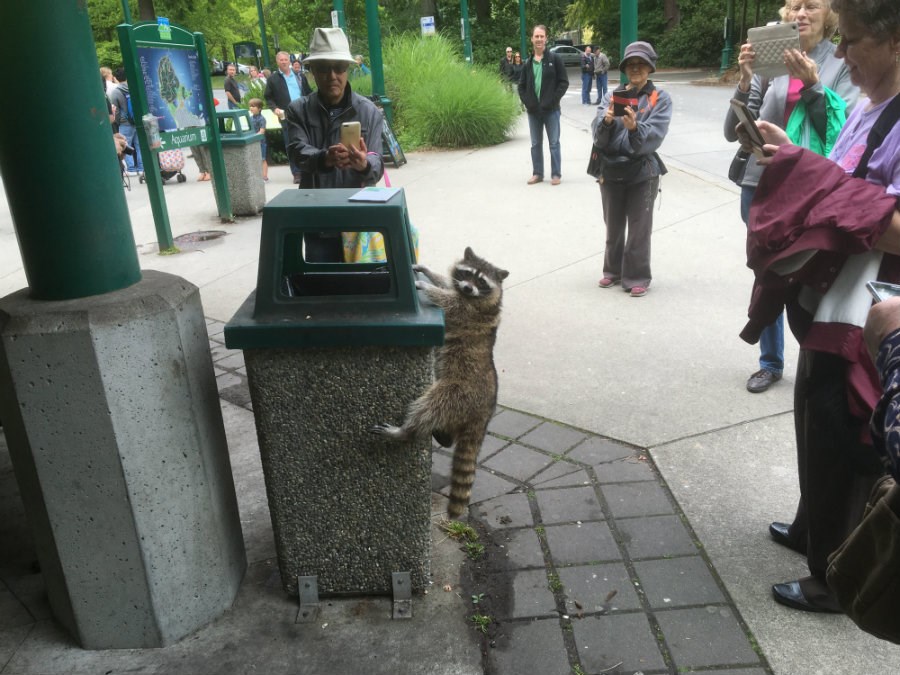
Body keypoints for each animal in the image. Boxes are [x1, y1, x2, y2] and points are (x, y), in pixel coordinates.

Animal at [370, 248, 510, 516]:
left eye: (481, 282)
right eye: (467, 274)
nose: (467, 288)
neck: (475, 297)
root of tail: (485, 411)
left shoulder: (470, 309)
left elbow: (448, 301)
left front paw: (425, 285)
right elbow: (446, 286)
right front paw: (427, 272)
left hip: (458, 392)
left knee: (431, 406)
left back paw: (406, 431)